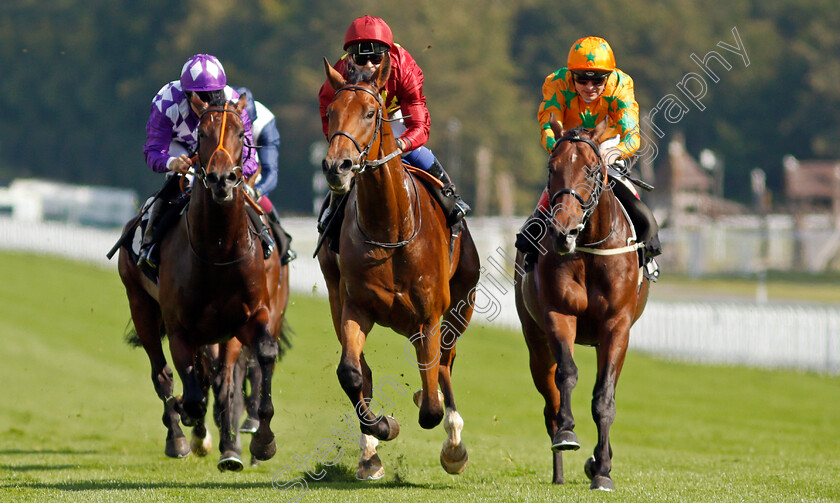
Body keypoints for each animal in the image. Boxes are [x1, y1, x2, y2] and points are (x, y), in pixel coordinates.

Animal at [116, 93, 290, 472]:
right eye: (201, 134)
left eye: (242, 133)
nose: (222, 179)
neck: (219, 250)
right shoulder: (180, 325)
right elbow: (191, 390)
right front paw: (192, 424)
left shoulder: (249, 317)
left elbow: (257, 360)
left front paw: (258, 442)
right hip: (141, 304)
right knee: (163, 374)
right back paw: (179, 438)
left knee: (220, 378)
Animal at [318, 54, 480, 480]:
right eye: (331, 111)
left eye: (371, 112)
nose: (337, 166)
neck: (390, 228)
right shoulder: (356, 306)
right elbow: (351, 373)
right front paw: (382, 428)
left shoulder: (430, 315)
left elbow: (433, 403)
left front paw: (448, 441)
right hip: (335, 295)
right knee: (364, 370)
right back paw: (369, 453)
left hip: (462, 304)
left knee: (445, 364)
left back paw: (452, 442)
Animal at [512, 120, 648, 490]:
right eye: (552, 168)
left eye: (591, 169)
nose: (564, 232)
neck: (588, 248)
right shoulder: (559, 315)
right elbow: (568, 375)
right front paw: (568, 433)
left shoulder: (616, 326)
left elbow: (604, 398)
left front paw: (602, 470)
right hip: (535, 343)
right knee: (550, 401)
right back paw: (559, 469)